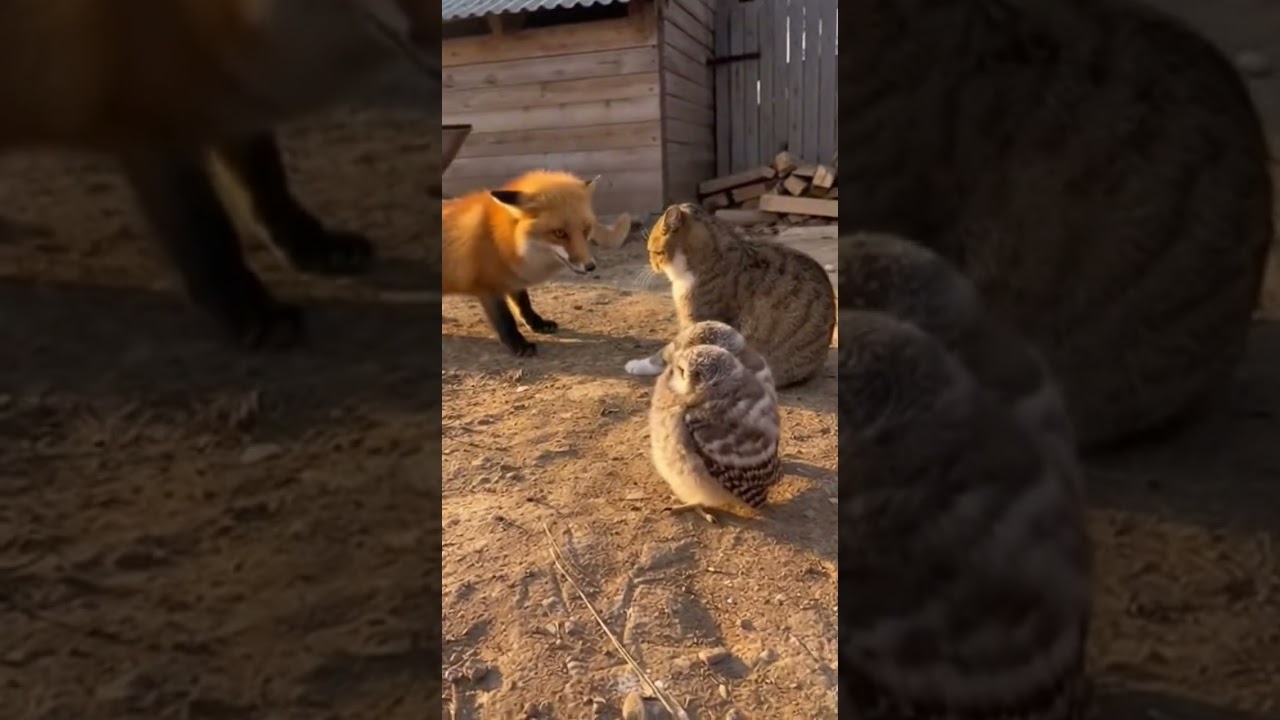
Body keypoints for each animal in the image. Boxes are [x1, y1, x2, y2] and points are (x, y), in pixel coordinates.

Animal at [0, 0, 442, 348]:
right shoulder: (156, 127)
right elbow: (206, 231)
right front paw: (249, 309)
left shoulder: (233, 107)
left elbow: (267, 187)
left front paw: (311, 246)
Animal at [442, 170, 600, 357]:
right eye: (559, 233)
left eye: (585, 230)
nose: (590, 266)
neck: (499, 240)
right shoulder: (488, 289)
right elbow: (505, 320)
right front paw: (519, 344)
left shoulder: (513, 279)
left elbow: (524, 304)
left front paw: (537, 324)